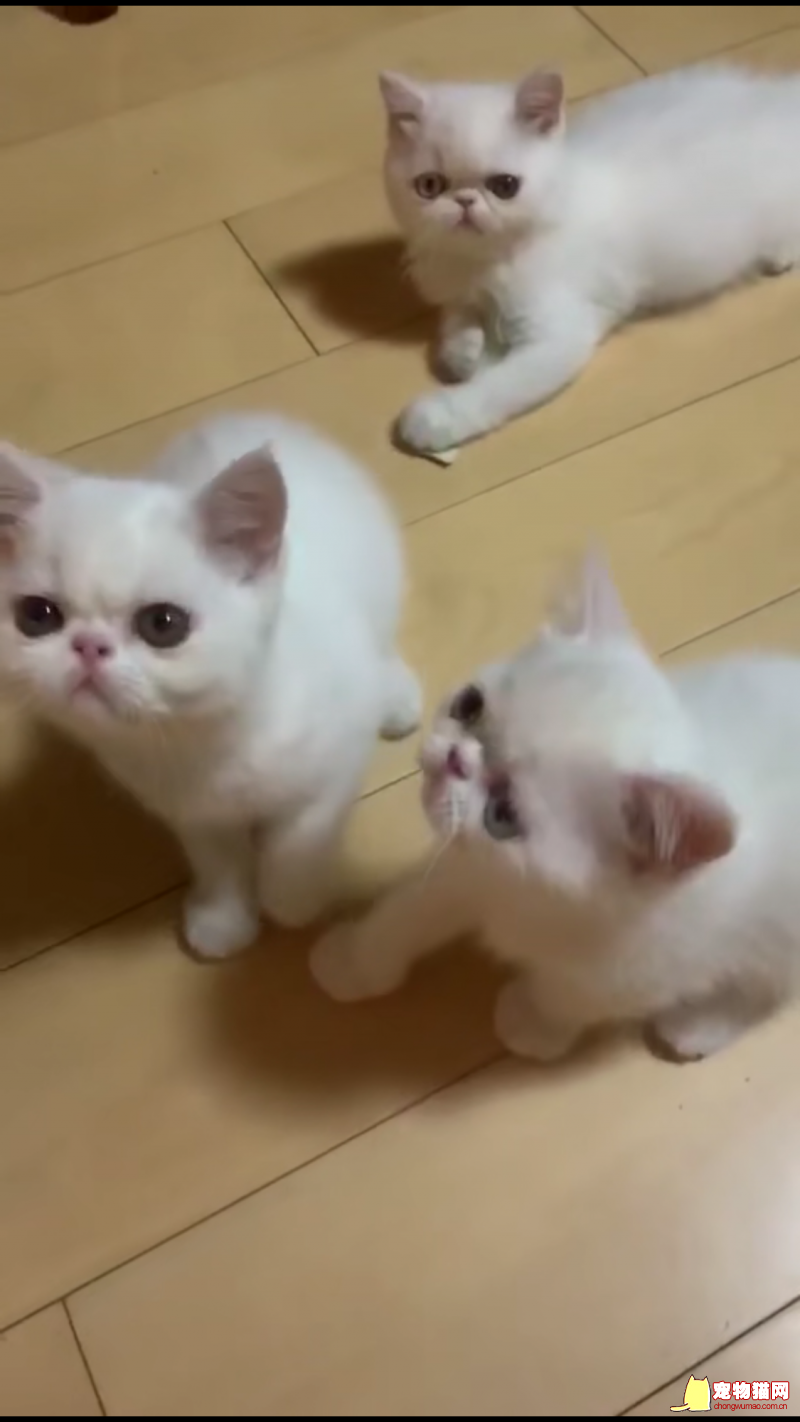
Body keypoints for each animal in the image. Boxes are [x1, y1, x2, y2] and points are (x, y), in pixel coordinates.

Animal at [0, 414, 421, 959]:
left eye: (163, 624)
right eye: (37, 615)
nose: (89, 646)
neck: (200, 740)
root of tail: (256, 413)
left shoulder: (337, 762)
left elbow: (298, 839)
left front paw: (290, 900)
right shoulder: (190, 811)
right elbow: (217, 857)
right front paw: (225, 918)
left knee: (379, 644)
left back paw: (395, 694)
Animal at [311, 550, 800, 1064]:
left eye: (503, 815)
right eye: (469, 705)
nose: (455, 759)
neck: (530, 900)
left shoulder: (637, 972)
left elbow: (571, 996)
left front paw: (531, 1022)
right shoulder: (465, 870)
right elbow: (407, 912)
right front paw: (354, 960)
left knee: (769, 990)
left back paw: (698, 1027)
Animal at [380, 62, 800, 453]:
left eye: (505, 186)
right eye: (429, 185)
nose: (465, 202)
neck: (484, 263)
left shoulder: (560, 334)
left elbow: (500, 385)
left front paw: (436, 417)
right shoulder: (454, 288)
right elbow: (456, 322)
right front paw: (465, 352)